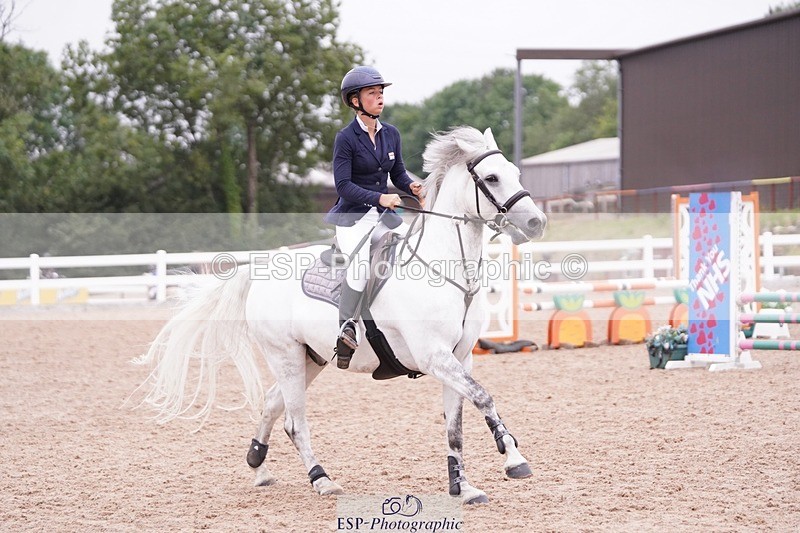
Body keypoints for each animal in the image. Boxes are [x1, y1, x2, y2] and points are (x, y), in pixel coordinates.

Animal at [134, 126, 547, 504]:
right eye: (491, 178)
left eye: (515, 172)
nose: (536, 222)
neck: (445, 270)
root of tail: (260, 267)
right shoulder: (434, 357)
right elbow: (483, 398)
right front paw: (513, 459)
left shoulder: (459, 359)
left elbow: (456, 425)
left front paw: (463, 487)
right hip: (284, 355)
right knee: (294, 422)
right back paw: (321, 479)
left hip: (311, 358)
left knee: (272, 403)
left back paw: (259, 466)